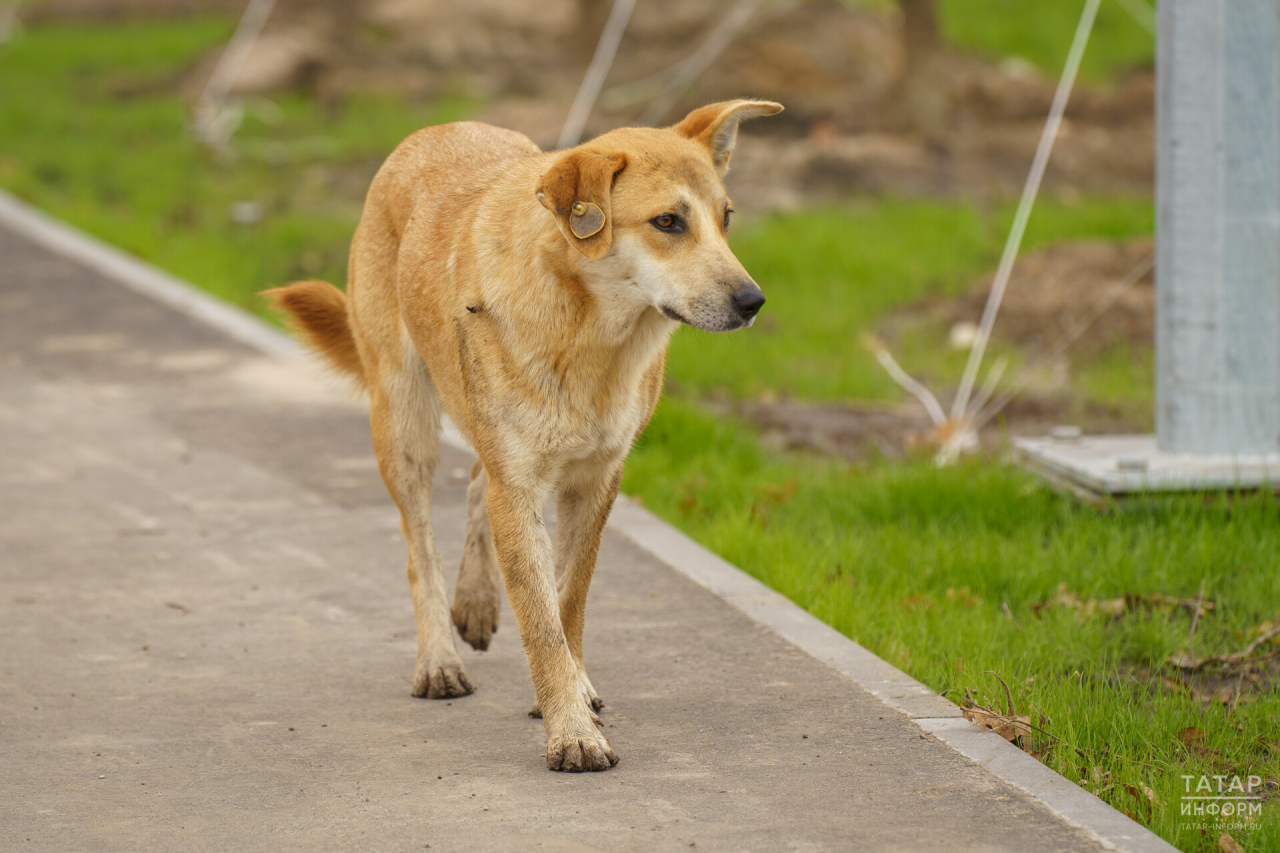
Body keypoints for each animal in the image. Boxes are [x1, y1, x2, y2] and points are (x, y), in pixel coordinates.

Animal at [270, 99, 783, 768]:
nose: (753, 301)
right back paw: (438, 659)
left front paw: (572, 694)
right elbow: (540, 621)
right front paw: (572, 732)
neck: (591, 338)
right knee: (420, 548)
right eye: (667, 222)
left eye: (725, 219)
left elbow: (567, 602)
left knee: (473, 480)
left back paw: (478, 602)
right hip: (403, 424)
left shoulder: (597, 481)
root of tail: (439, 128)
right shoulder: (518, 487)